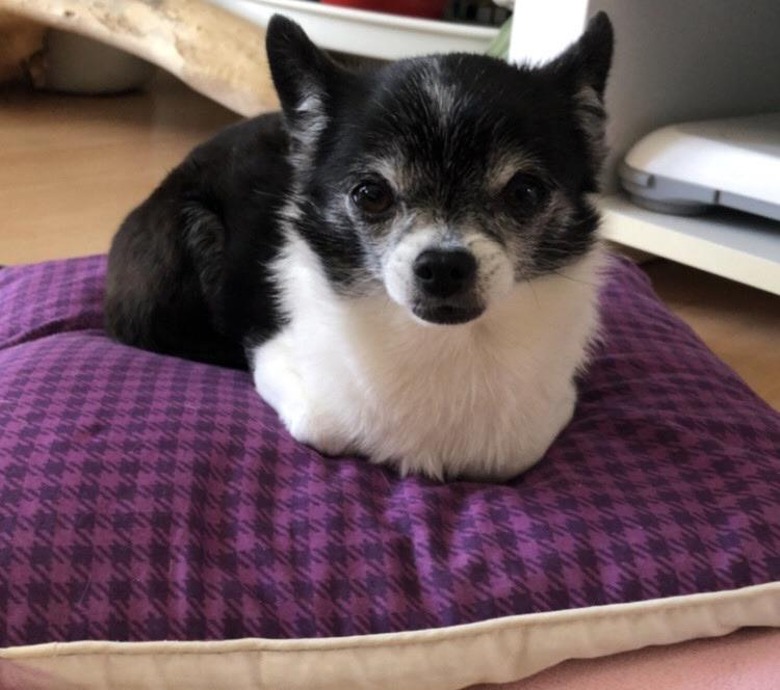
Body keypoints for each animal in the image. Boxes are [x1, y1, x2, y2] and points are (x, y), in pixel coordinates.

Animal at [105, 14, 616, 478]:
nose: (444, 265)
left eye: (525, 192)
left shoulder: (544, 414)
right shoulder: (279, 363)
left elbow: (518, 447)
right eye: (371, 194)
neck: (443, 341)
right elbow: (326, 424)